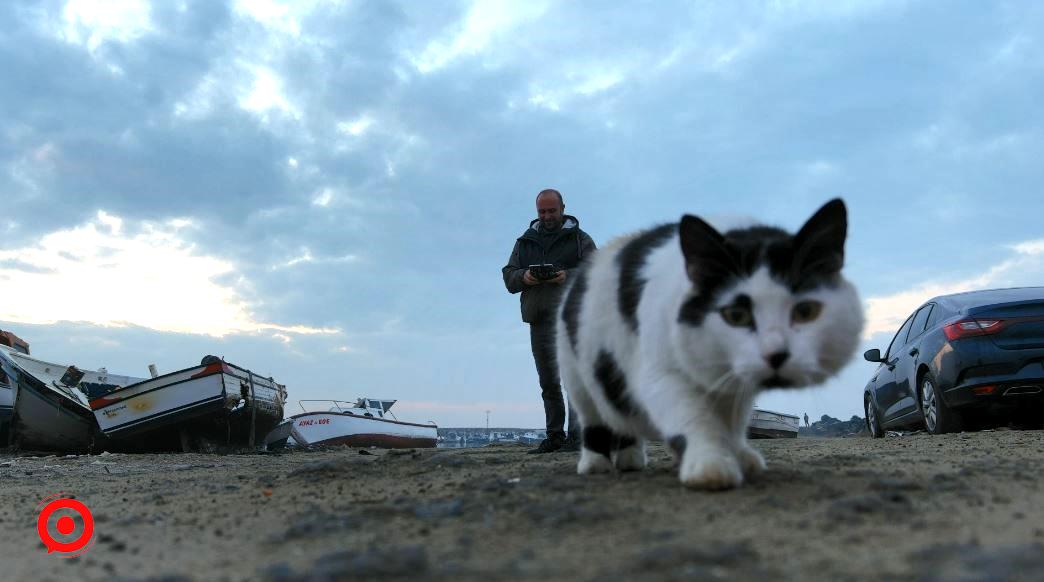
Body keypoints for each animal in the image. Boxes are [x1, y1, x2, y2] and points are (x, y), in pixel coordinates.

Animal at [559, 197, 860, 486]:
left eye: (806, 311)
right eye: (736, 315)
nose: (776, 354)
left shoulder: (735, 387)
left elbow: (733, 423)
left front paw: (739, 456)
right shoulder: (660, 374)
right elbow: (693, 416)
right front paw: (710, 465)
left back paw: (631, 459)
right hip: (578, 376)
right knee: (594, 417)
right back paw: (595, 464)